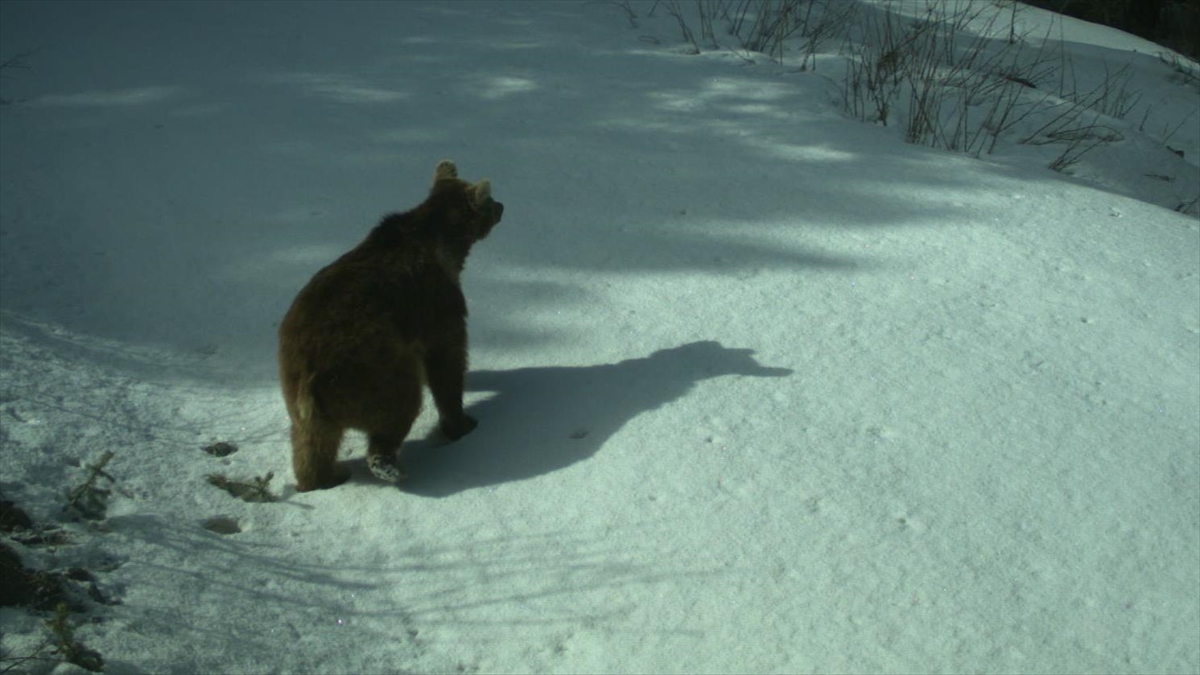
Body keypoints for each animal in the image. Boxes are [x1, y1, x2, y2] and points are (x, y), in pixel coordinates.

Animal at [276, 160, 501, 492]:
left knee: (311, 444)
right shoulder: (437, 303)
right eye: (490, 199)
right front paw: (462, 422)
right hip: (370, 370)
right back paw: (388, 465)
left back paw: (324, 479)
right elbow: (447, 360)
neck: (447, 246)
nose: (502, 206)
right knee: (399, 405)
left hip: (299, 390)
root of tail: (309, 377)